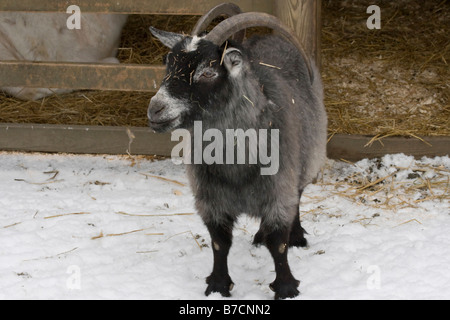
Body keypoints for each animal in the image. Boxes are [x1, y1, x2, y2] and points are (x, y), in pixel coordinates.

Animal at [148, 3, 326, 300]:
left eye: (208, 72)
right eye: (168, 63)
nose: (155, 109)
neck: (237, 166)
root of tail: (271, 37)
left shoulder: (278, 191)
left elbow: (278, 243)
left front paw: (286, 287)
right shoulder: (211, 199)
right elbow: (219, 242)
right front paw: (219, 284)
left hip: (309, 154)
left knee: (299, 195)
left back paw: (297, 235)